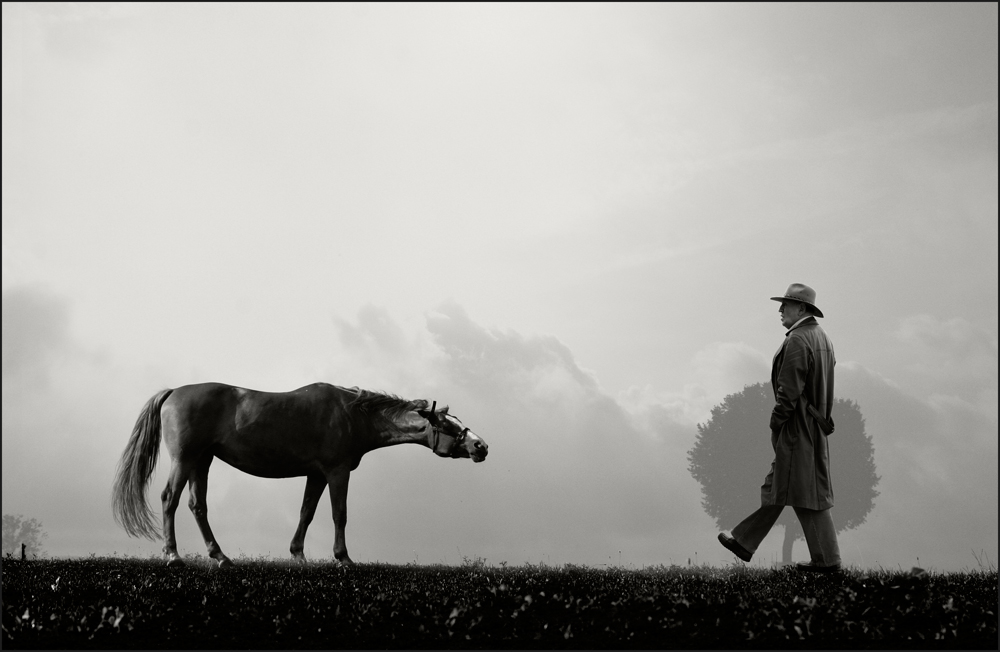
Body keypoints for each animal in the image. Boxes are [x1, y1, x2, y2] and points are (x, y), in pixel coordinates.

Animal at [113, 382, 488, 564]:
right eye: (448, 426)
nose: (481, 446)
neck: (353, 415)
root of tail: (173, 393)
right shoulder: (337, 472)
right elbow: (339, 514)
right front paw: (343, 558)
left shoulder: (317, 475)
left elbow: (307, 512)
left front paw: (297, 553)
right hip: (185, 459)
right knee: (169, 500)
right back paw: (173, 555)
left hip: (201, 462)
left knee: (197, 506)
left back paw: (220, 556)